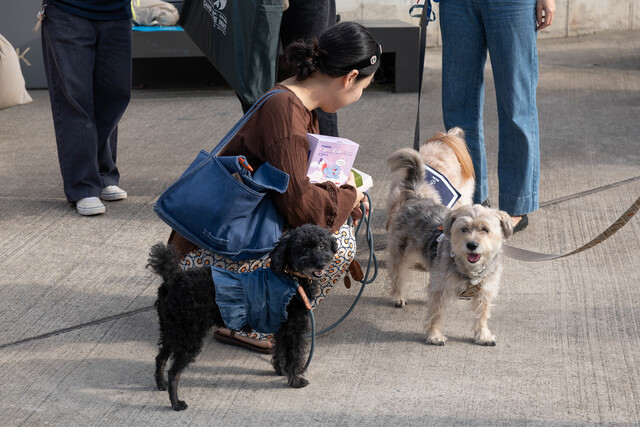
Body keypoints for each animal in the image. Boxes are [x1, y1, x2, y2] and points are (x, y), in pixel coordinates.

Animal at [148, 226, 338, 412]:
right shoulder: (293, 328)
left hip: (174, 330)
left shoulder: (281, 326)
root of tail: (173, 279)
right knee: (174, 372)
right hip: (190, 334)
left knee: (160, 358)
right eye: (302, 249)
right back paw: (176, 403)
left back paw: (161, 384)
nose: (320, 263)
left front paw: (281, 370)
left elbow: (279, 350)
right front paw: (296, 380)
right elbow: (294, 354)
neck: (291, 277)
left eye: (321, 245)